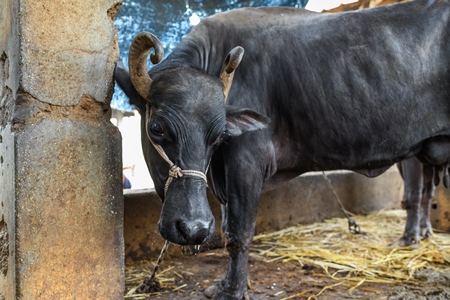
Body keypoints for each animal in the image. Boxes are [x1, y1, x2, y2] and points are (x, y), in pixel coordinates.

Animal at [116, 1, 450, 298]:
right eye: (157, 129)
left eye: (219, 134)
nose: (194, 229)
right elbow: (226, 226)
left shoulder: (246, 163)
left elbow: (238, 232)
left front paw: (232, 290)